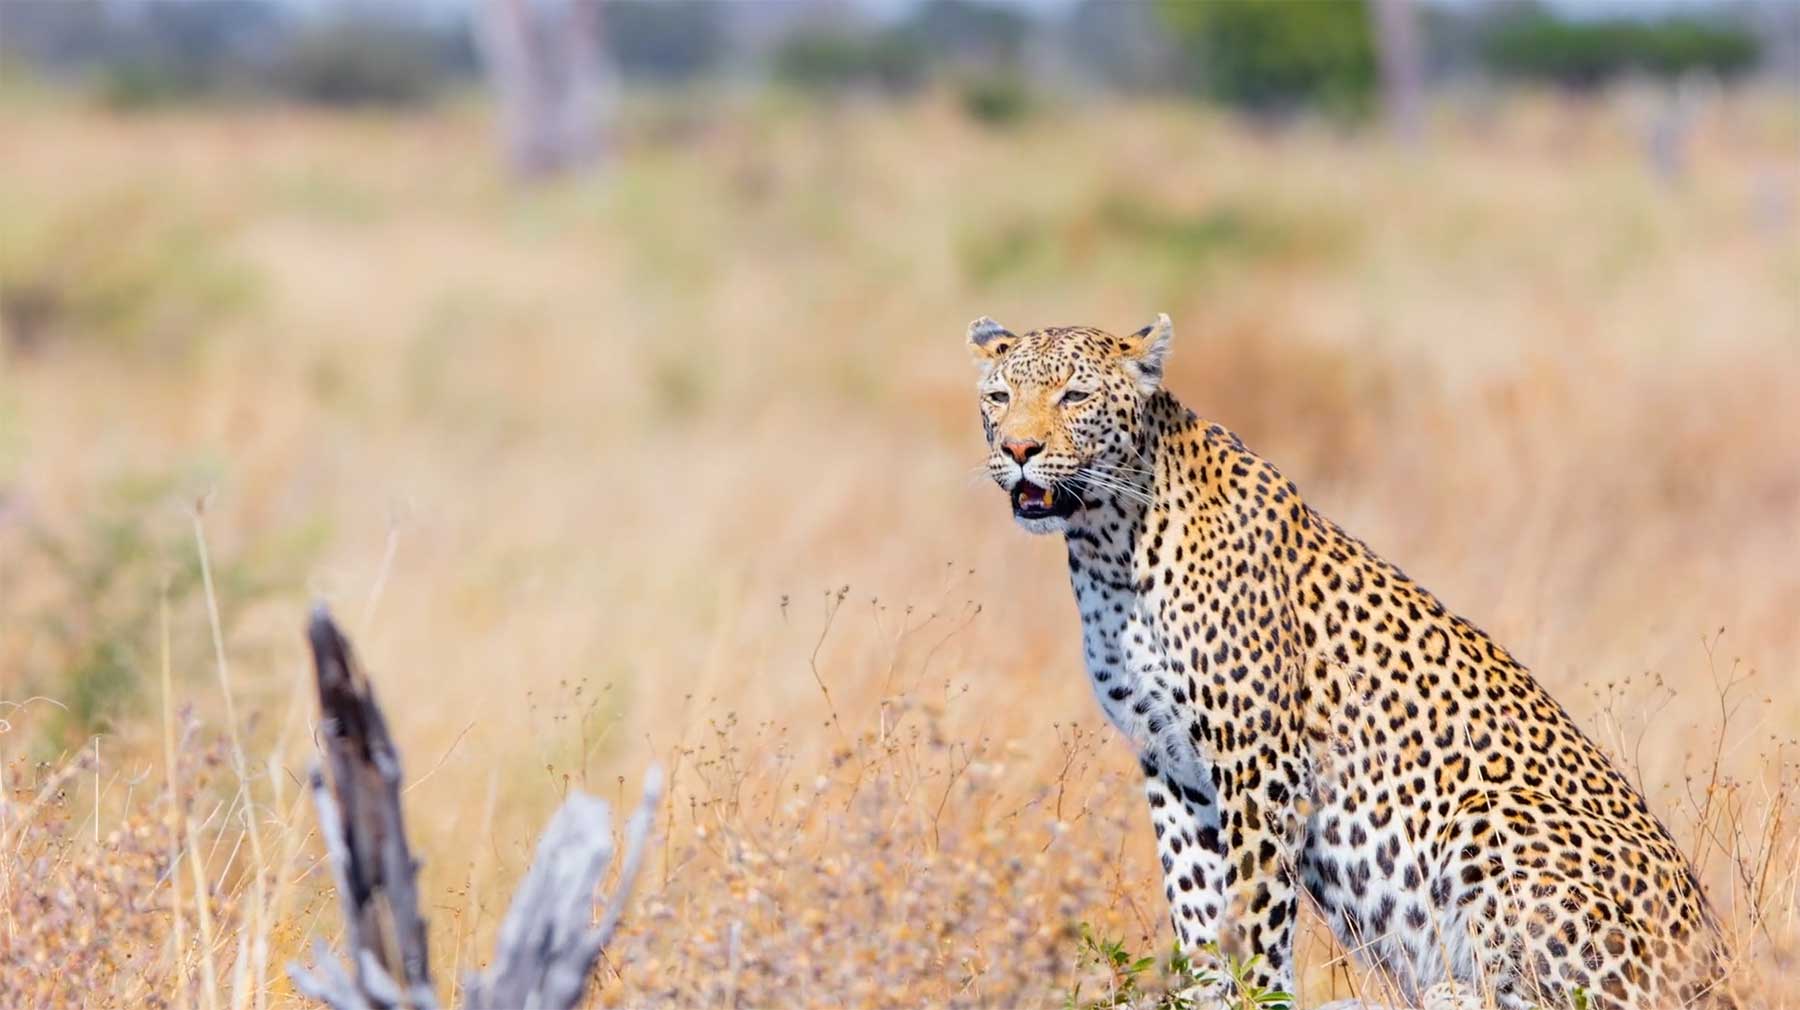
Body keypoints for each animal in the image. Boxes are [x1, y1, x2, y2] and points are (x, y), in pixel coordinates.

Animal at [964, 315, 1735, 1008]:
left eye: (1074, 396)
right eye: (999, 396)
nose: (1021, 448)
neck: (1105, 546)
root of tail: (1719, 966)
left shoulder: (1259, 762)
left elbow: (1254, 912)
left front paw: (1255, 994)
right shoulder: (1169, 763)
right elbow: (1195, 905)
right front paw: (1205, 990)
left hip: (1489, 815)